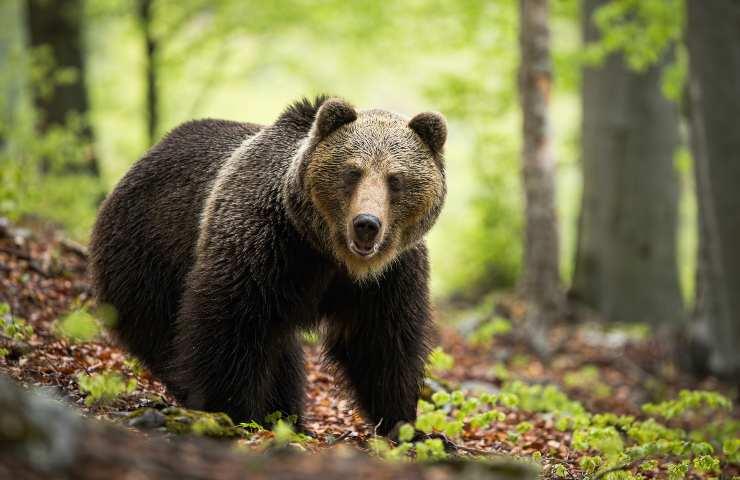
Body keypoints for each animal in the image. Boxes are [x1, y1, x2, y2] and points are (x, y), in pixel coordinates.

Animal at [92, 95, 450, 434]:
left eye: (395, 179)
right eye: (353, 171)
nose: (366, 224)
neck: (328, 252)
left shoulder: (389, 276)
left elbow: (382, 343)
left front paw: (405, 425)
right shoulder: (265, 243)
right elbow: (231, 324)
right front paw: (233, 410)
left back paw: (287, 416)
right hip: (149, 255)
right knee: (164, 334)